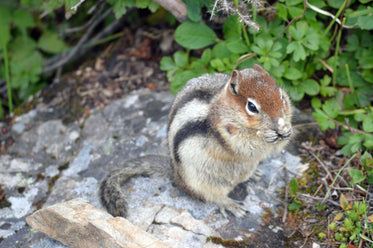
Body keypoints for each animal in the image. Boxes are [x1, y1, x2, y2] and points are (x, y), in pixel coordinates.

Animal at [100, 64, 292, 217]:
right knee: (212, 197)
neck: (224, 107)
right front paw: (265, 135)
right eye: (252, 107)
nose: (278, 122)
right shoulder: (225, 132)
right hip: (202, 182)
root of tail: (176, 176)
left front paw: (286, 130)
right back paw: (230, 205)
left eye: (281, 96)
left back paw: (254, 174)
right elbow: (244, 146)